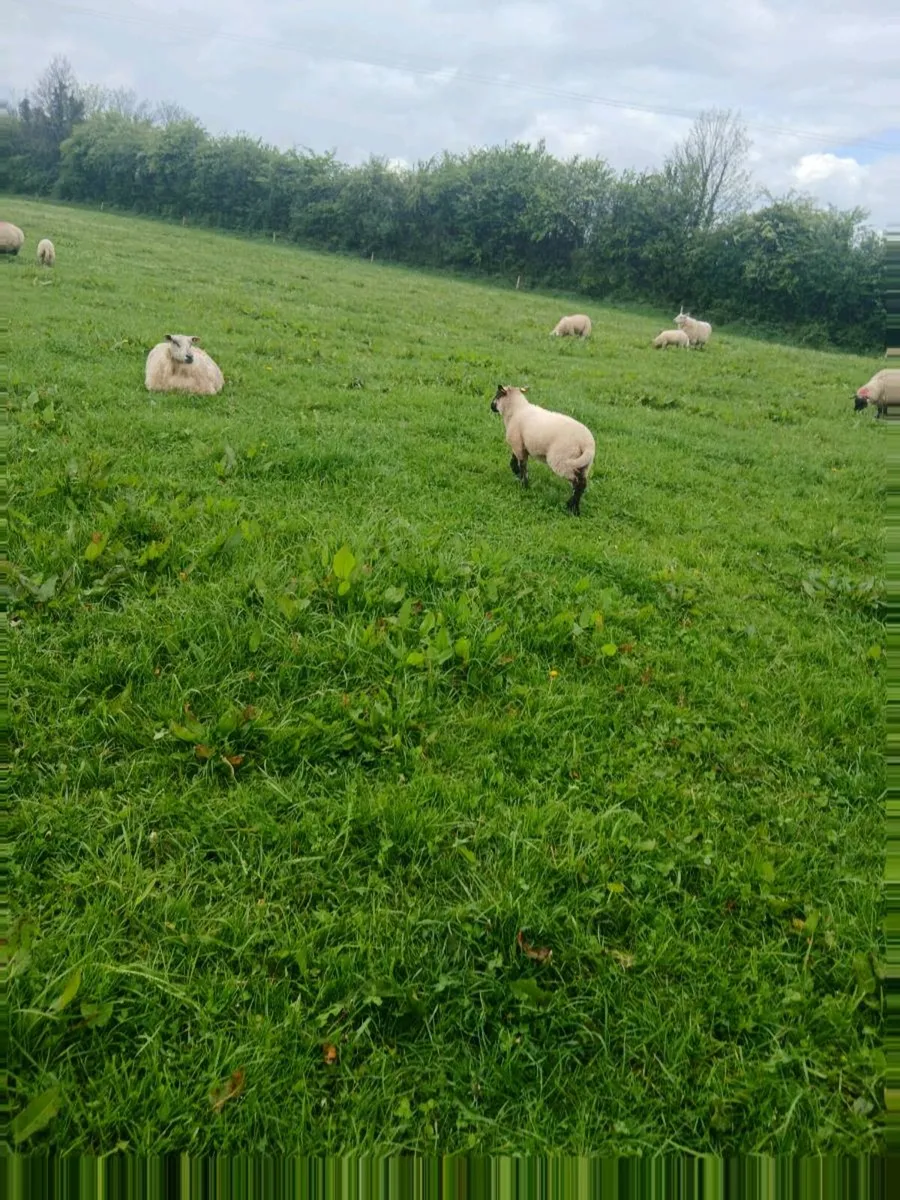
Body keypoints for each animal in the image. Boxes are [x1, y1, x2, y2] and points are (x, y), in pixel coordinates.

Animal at [490, 384, 596, 515]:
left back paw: (571, 507)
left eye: (497, 394)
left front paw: (524, 484)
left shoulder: (517, 444)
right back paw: (574, 508)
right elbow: (514, 461)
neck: (516, 410)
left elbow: (522, 465)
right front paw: (518, 474)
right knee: (582, 484)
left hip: (561, 459)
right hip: (584, 465)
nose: (491, 406)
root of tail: (587, 444)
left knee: (577, 483)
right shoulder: (521, 445)